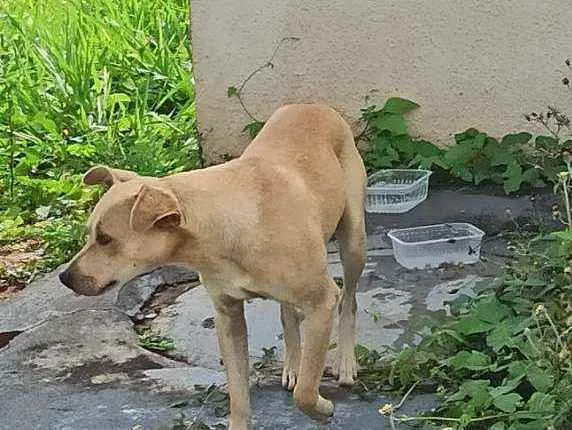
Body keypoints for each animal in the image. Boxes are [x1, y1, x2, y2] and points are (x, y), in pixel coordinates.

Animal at [59, 103, 366, 426]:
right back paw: (294, 364)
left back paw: (345, 363)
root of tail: (312, 104)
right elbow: (238, 395)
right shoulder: (227, 316)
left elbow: (305, 392)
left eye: (105, 239)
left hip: (354, 243)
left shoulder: (321, 303)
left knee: (349, 301)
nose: (65, 277)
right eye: (91, 233)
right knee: (288, 314)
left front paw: (322, 407)